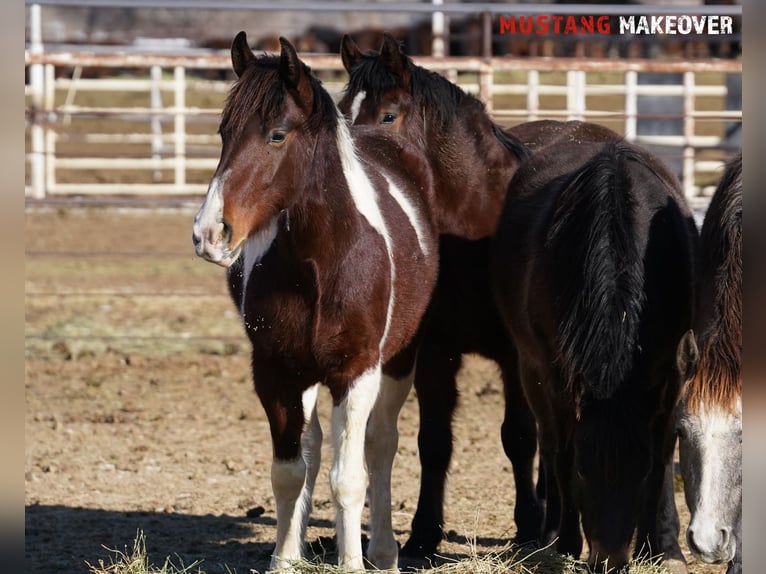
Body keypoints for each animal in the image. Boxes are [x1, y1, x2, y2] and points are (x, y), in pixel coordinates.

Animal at [194, 33, 444, 572]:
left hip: (399, 362)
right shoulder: (274, 372)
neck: (319, 264)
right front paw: (283, 560)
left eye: (277, 135)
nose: (208, 233)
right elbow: (290, 472)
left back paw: (384, 551)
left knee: (380, 446)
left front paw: (351, 563)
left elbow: (348, 478)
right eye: (224, 133)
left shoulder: (357, 372)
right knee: (309, 449)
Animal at [340, 31, 624, 560]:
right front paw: (423, 535)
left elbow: (520, 437)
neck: (471, 224)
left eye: (388, 116)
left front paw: (530, 526)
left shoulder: (516, 356)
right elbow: (434, 442)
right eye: (343, 112)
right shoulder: (434, 351)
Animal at [492, 141, 704, 574]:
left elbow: (662, 460)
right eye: (584, 470)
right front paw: (567, 544)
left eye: (639, 470)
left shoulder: (672, 376)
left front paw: (659, 549)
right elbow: (561, 454)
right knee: (549, 444)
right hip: (531, 372)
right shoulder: (555, 376)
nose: (609, 561)